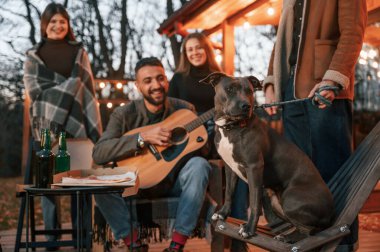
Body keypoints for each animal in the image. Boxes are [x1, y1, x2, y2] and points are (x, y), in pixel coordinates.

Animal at [200, 72, 334, 241]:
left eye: (249, 91)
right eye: (230, 89)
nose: (246, 106)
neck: (230, 128)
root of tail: (332, 213)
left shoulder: (254, 167)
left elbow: (254, 202)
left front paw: (249, 229)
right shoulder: (230, 167)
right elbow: (229, 193)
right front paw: (223, 214)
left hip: (290, 199)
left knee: (310, 231)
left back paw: (287, 238)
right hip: (276, 202)